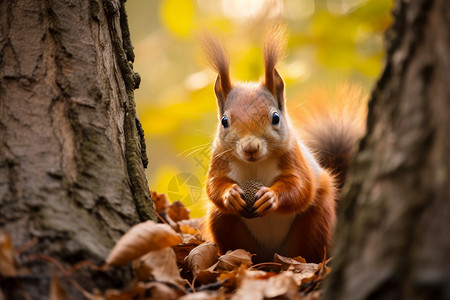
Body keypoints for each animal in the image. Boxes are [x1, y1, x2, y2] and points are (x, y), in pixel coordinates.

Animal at [200, 27, 366, 262]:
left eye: (275, 118)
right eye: (224, 121)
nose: (250, 148)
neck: (255, 164)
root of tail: (273, 254)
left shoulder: (294, 158)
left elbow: (300, 186)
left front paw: (271, 197)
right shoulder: (220, 160)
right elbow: (213, 185)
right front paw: (229, 194)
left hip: (316, 220)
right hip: (223, 223)